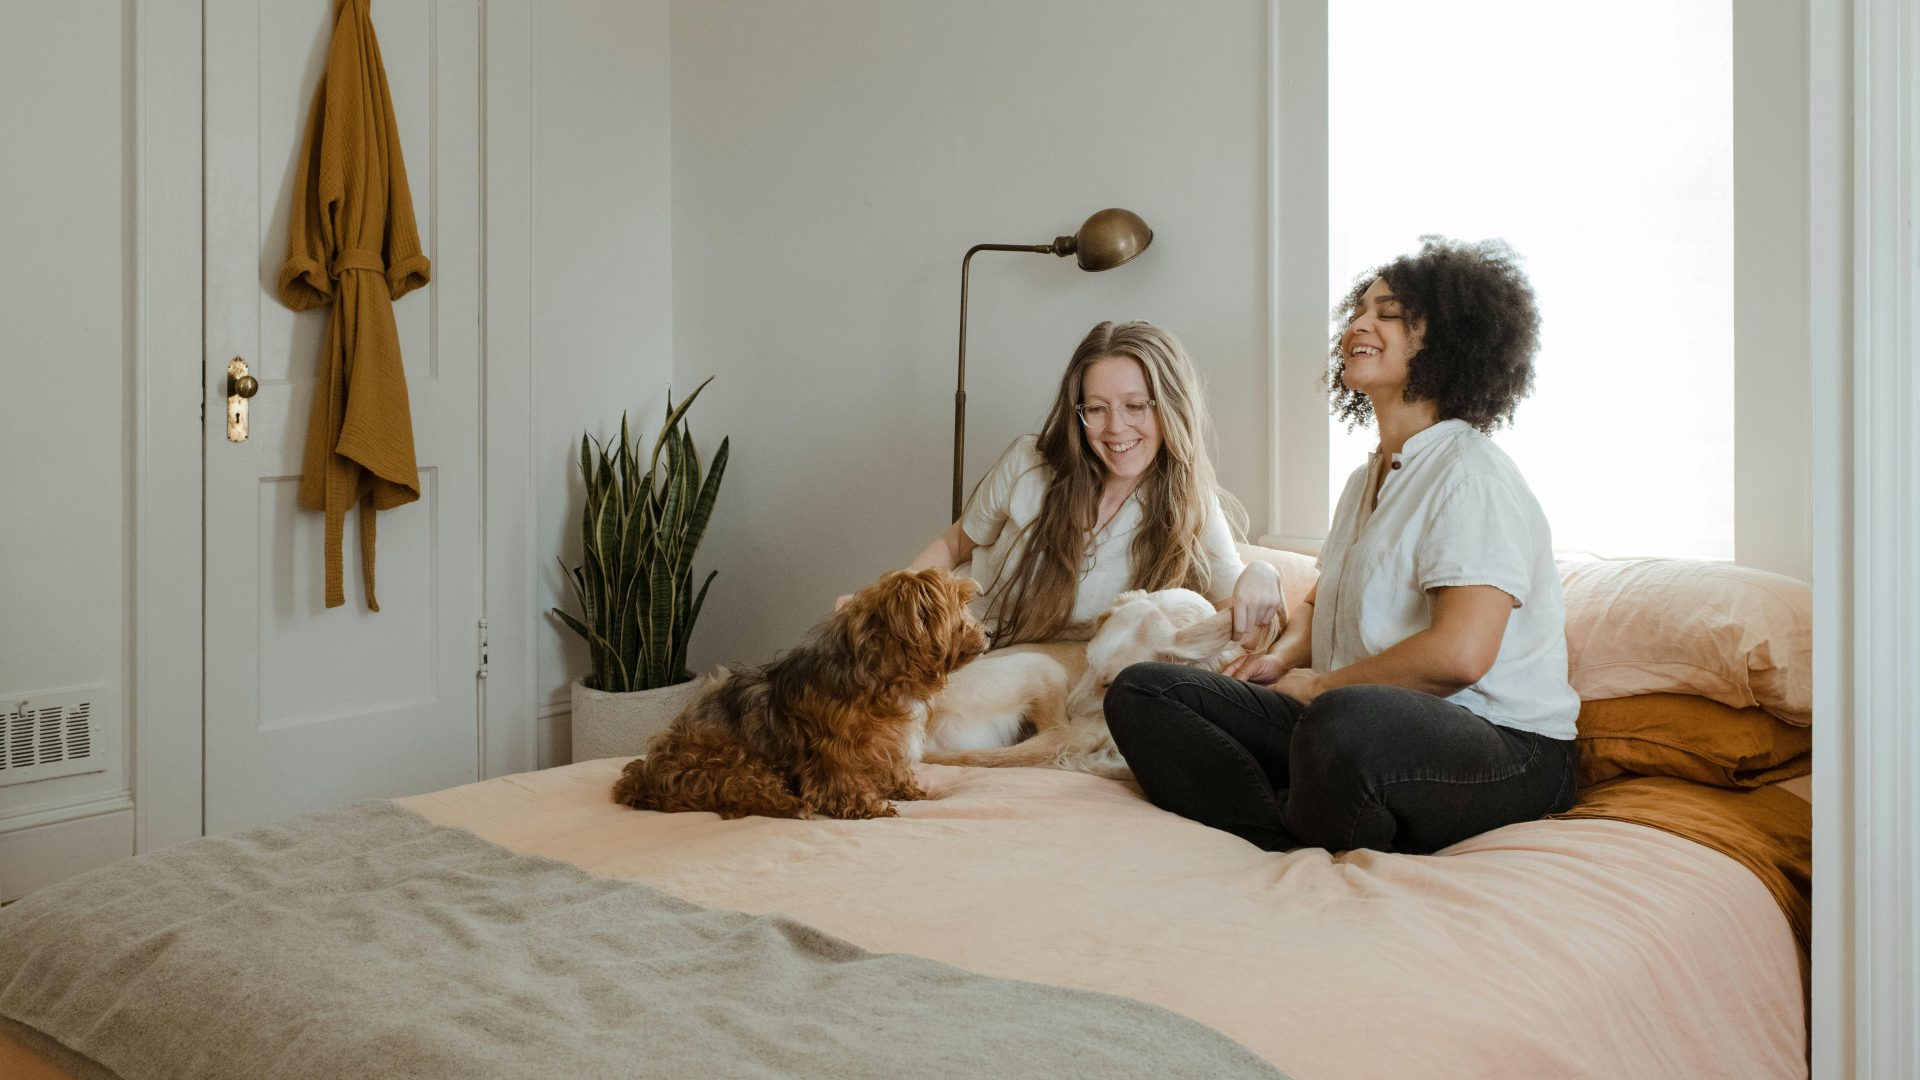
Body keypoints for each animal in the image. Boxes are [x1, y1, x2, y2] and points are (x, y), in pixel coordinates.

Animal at [606, 568, 983, 810]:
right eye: (960, 608)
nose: (989, 632)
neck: (883, 679)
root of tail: (643, 777)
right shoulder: (832, 747)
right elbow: (843, 776)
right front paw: (865, 804)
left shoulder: (887, 744)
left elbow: (893, 768)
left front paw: (909, 791)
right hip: (728, 760)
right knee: (742, 789)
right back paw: (788, 802)